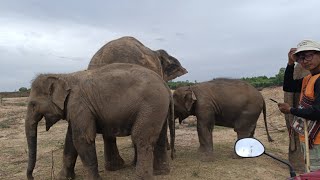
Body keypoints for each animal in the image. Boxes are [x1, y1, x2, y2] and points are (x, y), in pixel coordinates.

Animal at [25, 63, 175, 180]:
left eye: (33, 104)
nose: (31, 177)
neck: (64, 76)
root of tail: (165, 85)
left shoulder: (79, 105)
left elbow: (82, 139)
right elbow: (70, 141)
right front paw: (63, 177)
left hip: (151, 105)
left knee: (141, 138)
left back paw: (141, 177)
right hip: (158, 108)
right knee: (160, 137)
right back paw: (161, 172)